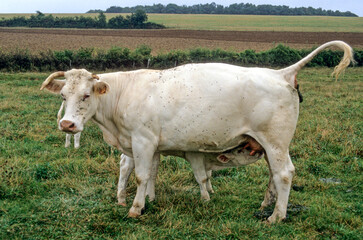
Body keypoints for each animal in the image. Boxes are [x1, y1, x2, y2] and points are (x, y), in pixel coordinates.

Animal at [41, 40, 354, 222]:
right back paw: (267, 206)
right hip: (268, 145)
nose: (67, 125)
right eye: (63, 96)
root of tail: (280, 73)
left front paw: (135, 208)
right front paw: (147, 201)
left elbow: (141, 176)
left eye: (86, 95)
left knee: (285, 174)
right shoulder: (146, 144)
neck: (124, 94)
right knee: (274, 175)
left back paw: (276, 217)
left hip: (276, 142)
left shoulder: (142, 140)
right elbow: (149, 173)